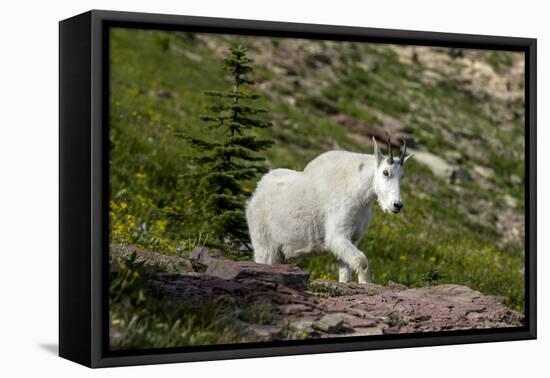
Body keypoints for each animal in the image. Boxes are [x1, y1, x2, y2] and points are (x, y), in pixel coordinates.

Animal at [246, 133, 414, 284]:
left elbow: (345, 272)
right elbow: (361, 261)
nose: (397, 205)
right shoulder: (337, 235)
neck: (359, 194)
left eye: (402, 176)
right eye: (385, 172)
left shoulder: (352, 238)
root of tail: (255, 194)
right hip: (264, 243)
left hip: (284, 253)